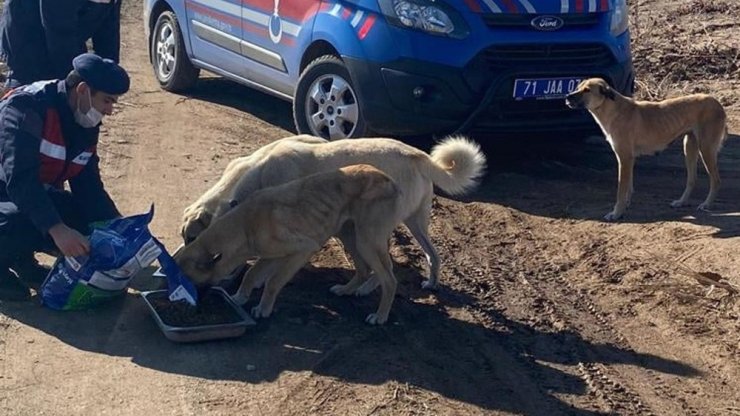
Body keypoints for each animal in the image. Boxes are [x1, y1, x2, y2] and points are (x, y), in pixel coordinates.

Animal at [175, 163, 404, 324]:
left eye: (188, 281)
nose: (194, 307)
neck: (245, 224)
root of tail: (390, 181)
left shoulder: (302, 250)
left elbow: (273, 282)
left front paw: (264, 309)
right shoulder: (270, 255)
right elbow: (251, 275)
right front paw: (239, 298)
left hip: (366, 241)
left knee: (390, 280)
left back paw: (380, 316)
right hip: (350, 236)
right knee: (364, 270)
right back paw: (347, 290)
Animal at [181, 136, 486, 292]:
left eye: (193, 240)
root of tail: (419, 156)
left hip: (373, 229)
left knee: (386, 265)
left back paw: (367, 288)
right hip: (415, 223)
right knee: (433, 255)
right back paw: (430, 282)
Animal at [568, 78, 728, 221]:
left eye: (587, 90)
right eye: (578, 87)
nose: (567, 97)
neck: (612, 109)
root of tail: (717, 103)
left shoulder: (624, 158)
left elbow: (621, 190)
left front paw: (616, 213)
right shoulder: (629, 160)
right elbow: (628, 187)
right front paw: (625, 206)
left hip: (706, 148)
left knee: (716, 180)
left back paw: (706, 204)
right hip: (689, 147)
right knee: (692, 179)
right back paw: (681, 202)